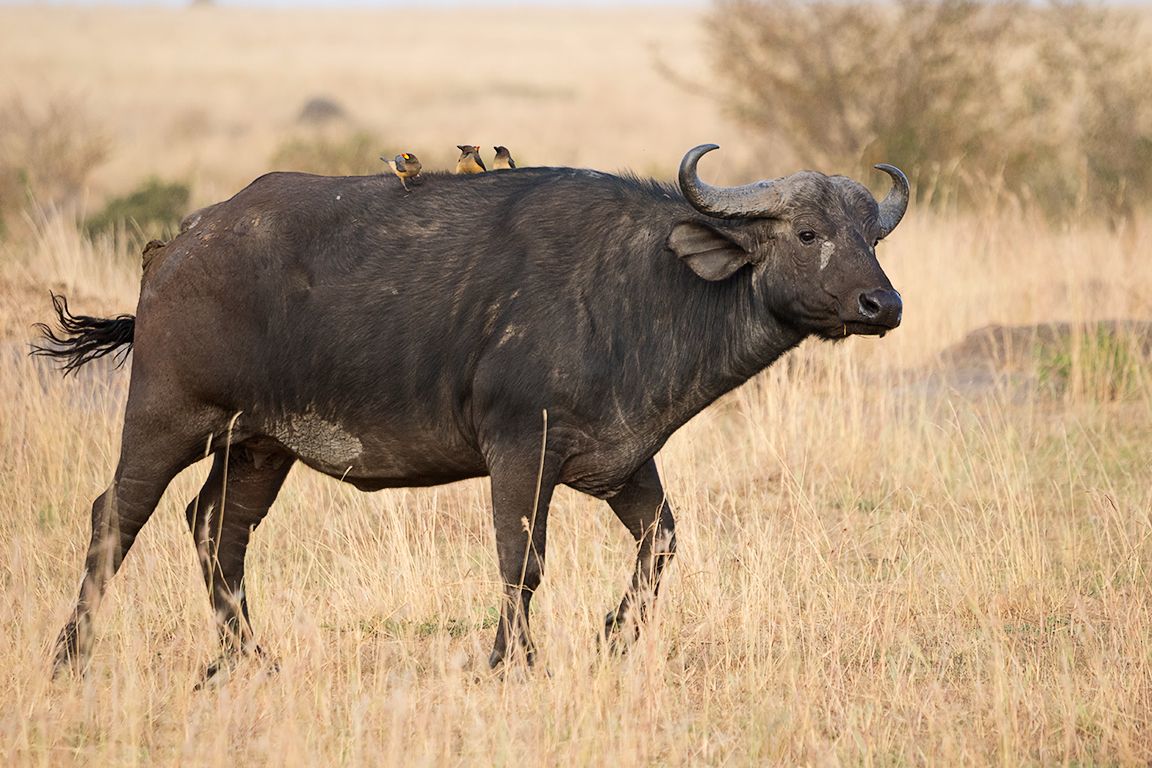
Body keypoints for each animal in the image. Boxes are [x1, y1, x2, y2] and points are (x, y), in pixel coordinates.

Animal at [36, 144, 908, 676]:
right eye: (807, 233)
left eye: (872, 237)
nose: (884, 304)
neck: (642, 287)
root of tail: (178, 244)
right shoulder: (522, 451)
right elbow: (521, 561)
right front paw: (510, 660)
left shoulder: (622, 461)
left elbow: (660, 542)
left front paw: (614, 636)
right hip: (167, 418)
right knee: (115, 518)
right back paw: (70, 654)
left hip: (259, 447)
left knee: (217, 530)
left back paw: (250, 658)